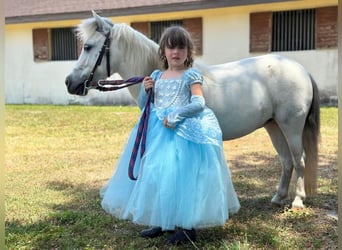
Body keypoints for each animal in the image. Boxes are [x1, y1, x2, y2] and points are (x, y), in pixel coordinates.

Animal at [65, 11, 320, 208]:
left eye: (87, 47)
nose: (70, 82)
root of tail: (301, 70)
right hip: (273, 126)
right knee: (287, 162)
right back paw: (278, 198)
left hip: (291, 127)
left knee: (299, 161)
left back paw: (297, 201)